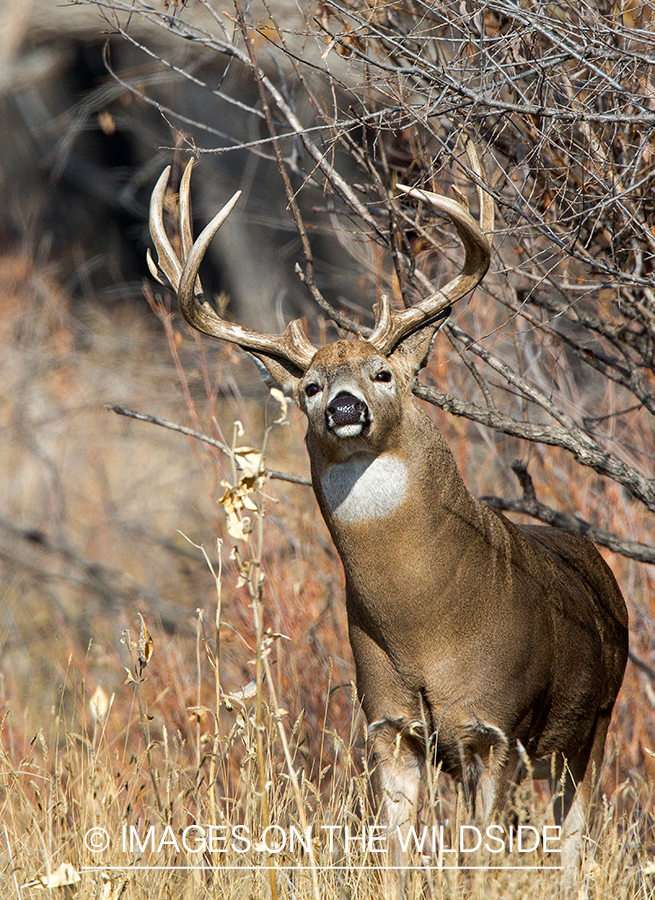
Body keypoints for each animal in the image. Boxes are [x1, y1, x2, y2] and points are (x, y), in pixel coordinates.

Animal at [146, 151, 628, 884]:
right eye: (309, 386)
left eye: (382, 373)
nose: (343, 406)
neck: (423, 620)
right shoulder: (388, 723)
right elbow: (396, 853)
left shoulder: (494, 722)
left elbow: (477, 860)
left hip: (591, 726)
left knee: (572, 842)